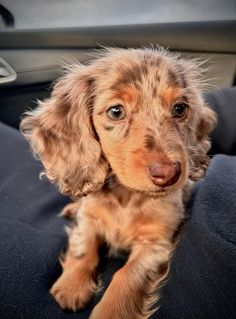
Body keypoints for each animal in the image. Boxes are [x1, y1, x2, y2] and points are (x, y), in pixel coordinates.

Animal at [20, 48, 216, 319]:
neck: (128, 196)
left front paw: (111, 311)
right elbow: (83, 247)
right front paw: (72, 285)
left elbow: (126, 274)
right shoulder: (90, 220)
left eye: (179, 108)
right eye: (116, 111)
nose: (168, 174)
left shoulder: (156, 243)